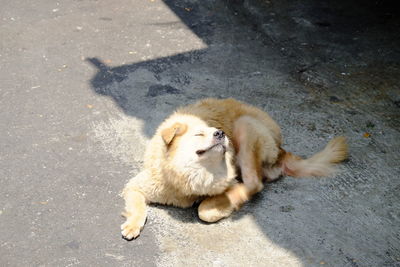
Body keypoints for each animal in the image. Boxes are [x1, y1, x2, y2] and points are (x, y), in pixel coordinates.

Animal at [119, 97, 346, 240]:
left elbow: (205, 211)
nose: (221, 133)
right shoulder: (136, 186)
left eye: (216, 130)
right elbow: (137, 206)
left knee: (255, 183)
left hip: (246, 126)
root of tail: (281, 149)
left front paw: (217, 206)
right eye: (199, 134)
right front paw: (133, 224)